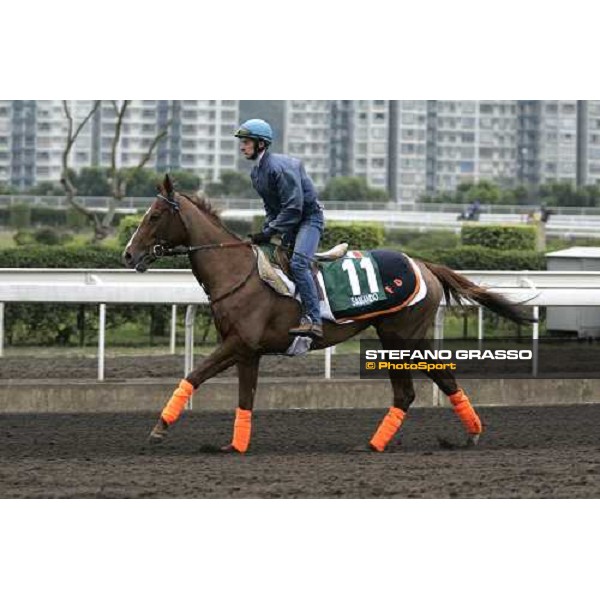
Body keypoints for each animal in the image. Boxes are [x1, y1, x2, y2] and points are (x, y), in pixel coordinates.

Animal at [123, 176, 536, 452]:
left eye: (155, 215)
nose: (128, 254)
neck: (238, 273)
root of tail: (425, 264)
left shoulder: (239, 344)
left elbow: (193, 375)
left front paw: (159, 428)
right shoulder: (247, 351)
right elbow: (243, 397)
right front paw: (235, 446)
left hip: (401, 336)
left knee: (415, 389)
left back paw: (383, 443)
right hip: (404, 338)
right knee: (430, 384)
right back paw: (460, 433)